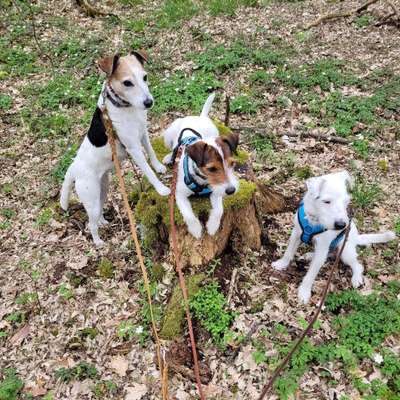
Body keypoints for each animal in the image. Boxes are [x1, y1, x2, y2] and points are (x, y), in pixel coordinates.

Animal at [60, 52, 170, 247]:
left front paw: (159, 167)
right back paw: (98, 242)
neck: (126, 108)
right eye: (127, 83)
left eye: (145, 77)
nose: (149, 102)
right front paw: (161, 188)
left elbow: (151, 153)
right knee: (91, 223)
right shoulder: (133, 147)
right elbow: (148, 171)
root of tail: (74, 168)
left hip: (102, 189)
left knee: (98, 213)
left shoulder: (143, 133)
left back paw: (104, 222)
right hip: (91, 198)